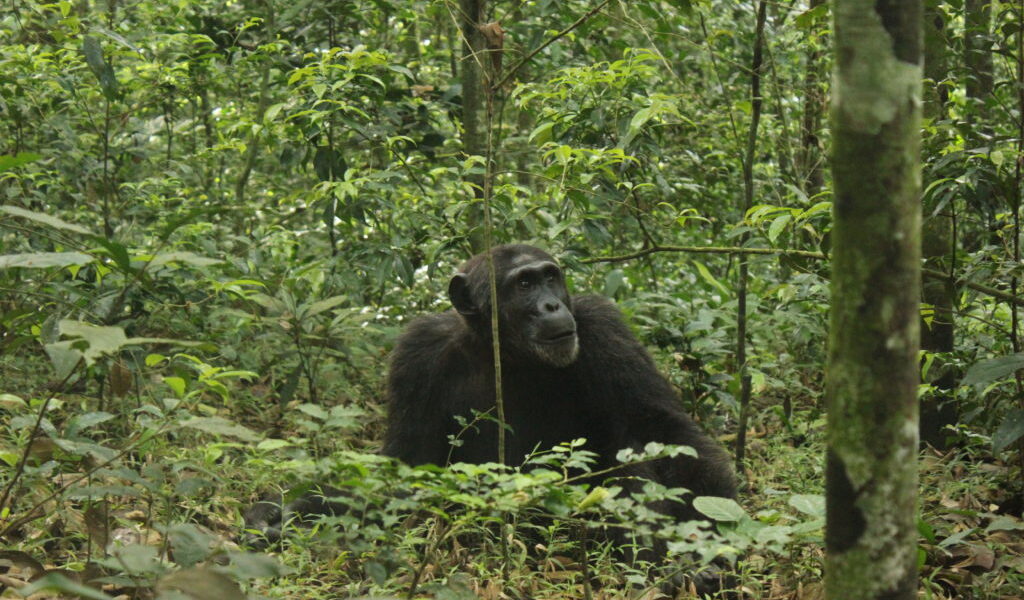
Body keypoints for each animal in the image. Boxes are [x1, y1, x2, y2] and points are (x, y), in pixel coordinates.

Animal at [243, 241, 733, 540]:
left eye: (550, 277)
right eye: (523, 284)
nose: (551, 305)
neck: (507, 352)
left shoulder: (604, 327)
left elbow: (661, 429)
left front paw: (704, 549)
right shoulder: (416, 353)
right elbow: (404, 462)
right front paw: (279, 513)